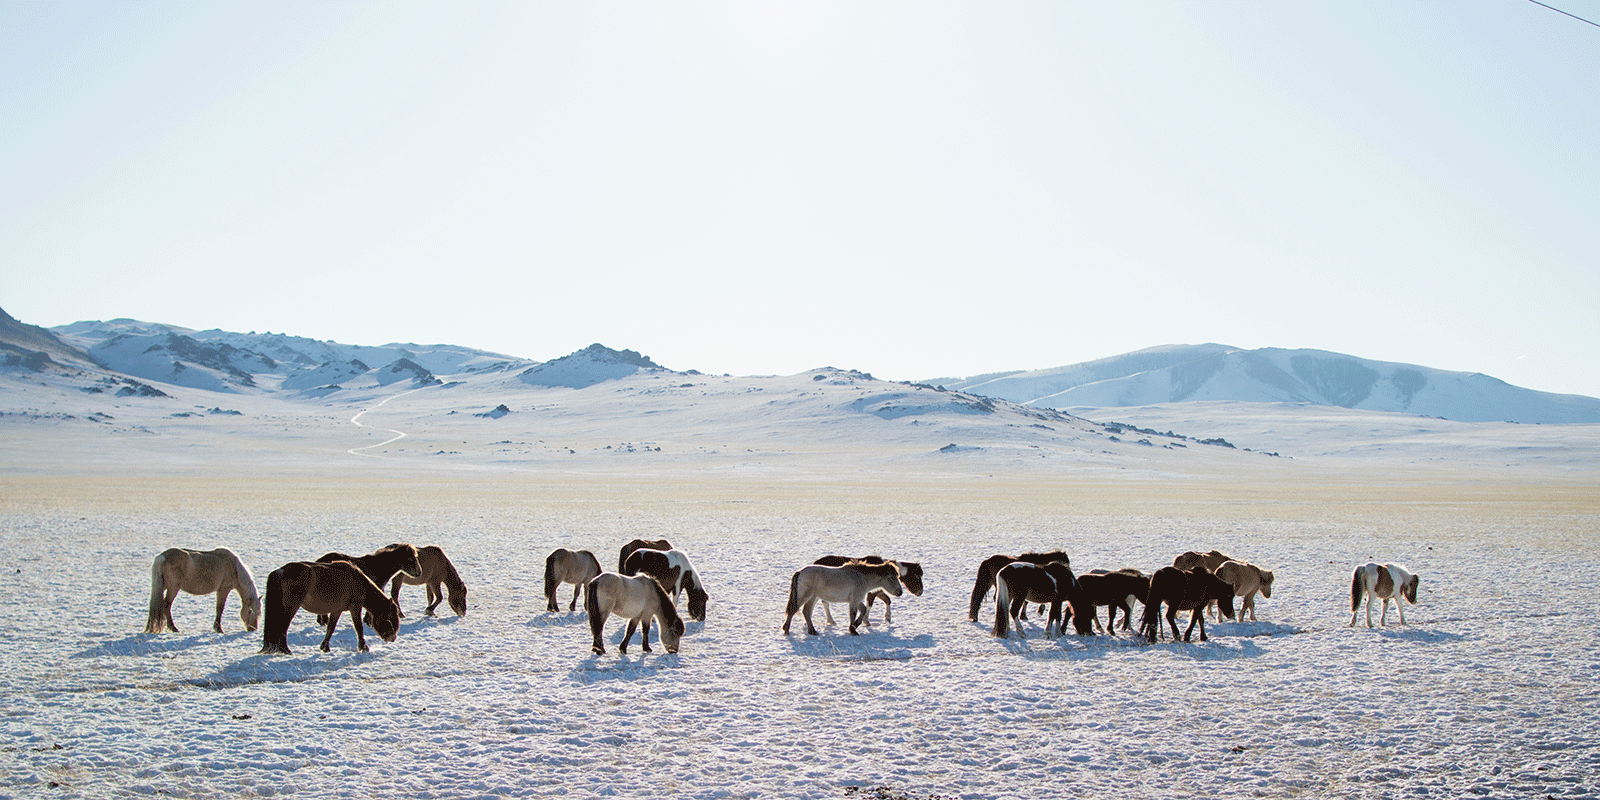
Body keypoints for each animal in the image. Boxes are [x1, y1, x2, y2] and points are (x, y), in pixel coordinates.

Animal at [259, 560, 400, 652]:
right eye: (389, 619)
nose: (392, 638)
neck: (357, 581)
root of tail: (281, 571)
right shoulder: (355, 608)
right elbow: (359, 628)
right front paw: (363, 647)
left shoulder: (336, 610)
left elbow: (331, 628)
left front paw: (325, 647)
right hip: (291, 606)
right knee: (283, 626)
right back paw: (285, 649)